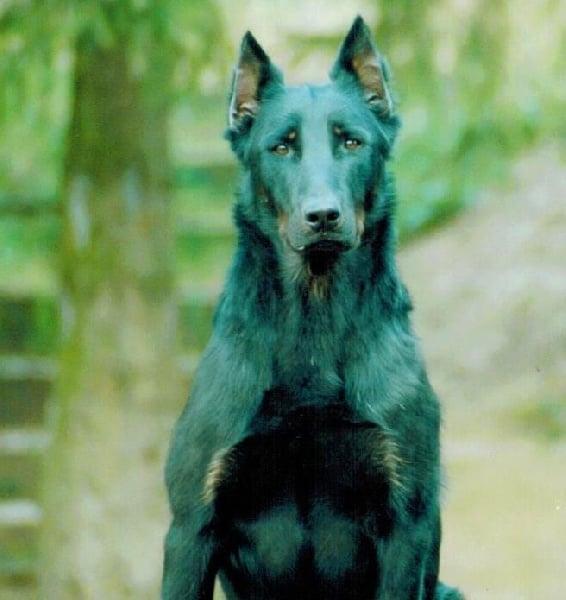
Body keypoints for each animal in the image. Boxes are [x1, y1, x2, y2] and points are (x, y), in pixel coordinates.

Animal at [162, 15, 464, 600]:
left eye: (351, 141)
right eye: (282, 147)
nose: (322, 216)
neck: (313, 324)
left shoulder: (406, 524)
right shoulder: (191, 528)